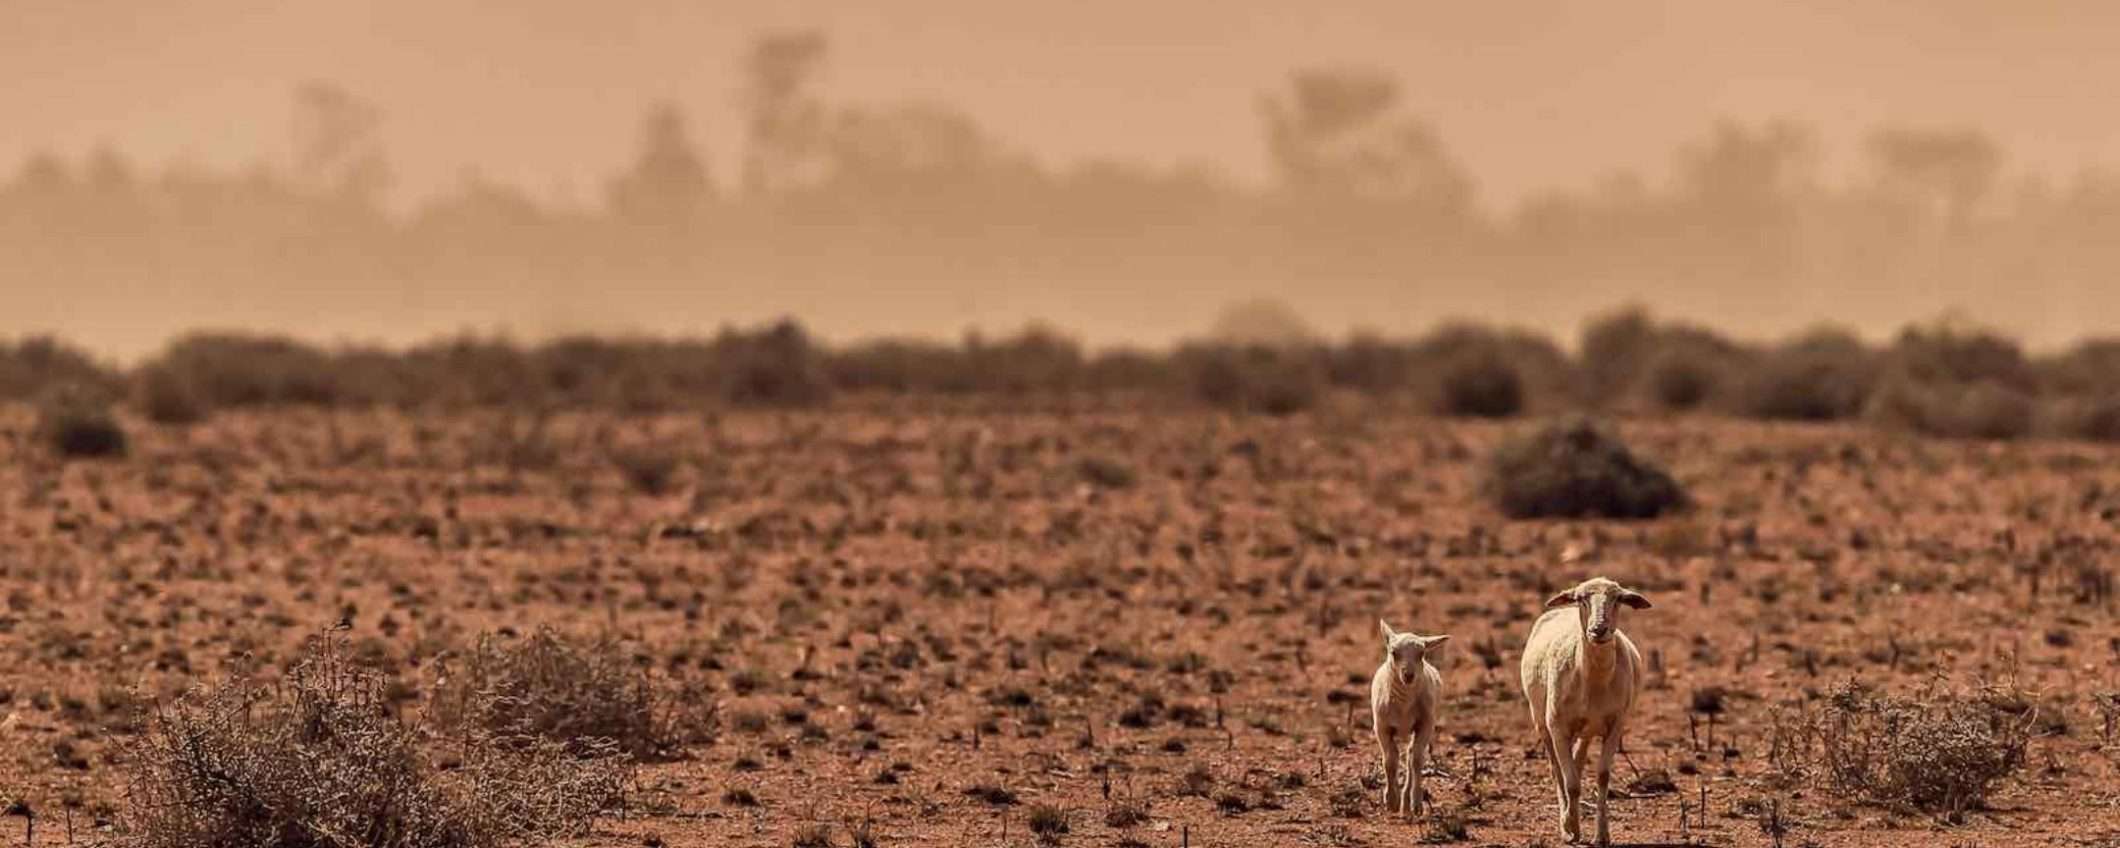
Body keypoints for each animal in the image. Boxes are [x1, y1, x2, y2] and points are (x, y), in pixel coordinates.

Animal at [1365, 619, 1450, 818]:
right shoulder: (1381, 727)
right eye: (1394, 653)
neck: (1403, 704)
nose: (1409, 675)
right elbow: (1390, 760)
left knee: (1411, 757)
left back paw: (1407, 803)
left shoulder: (1425, 725)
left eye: (1422, 654)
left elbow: (1416, 761)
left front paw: (1415, 803)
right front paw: (1391, 801)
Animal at [1526, 572, 1653, 843]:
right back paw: (1566, 818)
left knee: (1578, 758)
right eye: (1581, 599)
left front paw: (1602, 834)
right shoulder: (1558, 726)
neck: (1594, 679)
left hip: (1587, 728)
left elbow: (1602, 776)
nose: (1598, 630)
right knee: (1557, 769)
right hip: (1541, 721)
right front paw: (1570, 827)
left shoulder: (1616, 725)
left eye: (1618, 599)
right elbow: (1570, 782)